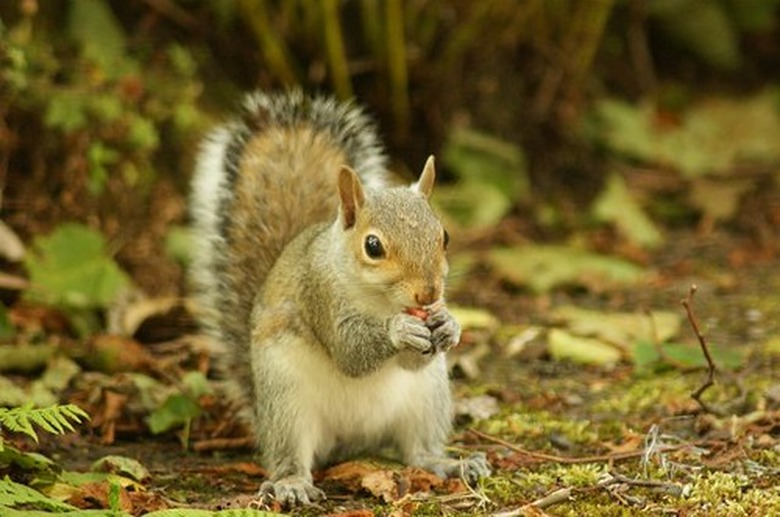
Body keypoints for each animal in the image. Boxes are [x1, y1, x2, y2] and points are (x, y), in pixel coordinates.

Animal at [190, 89, 490, 504]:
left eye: (443, 236)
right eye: (373, 246)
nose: (429, 292)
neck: (380, 300)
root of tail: (352, 440)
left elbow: (414, 358)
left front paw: (450, 325)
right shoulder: (319, 294)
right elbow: (350, 352)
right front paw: (398, 331)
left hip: (427, 399)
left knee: (418, 451)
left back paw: (450, 464)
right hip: (287, 403)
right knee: (290, 455)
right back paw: (292, 483)